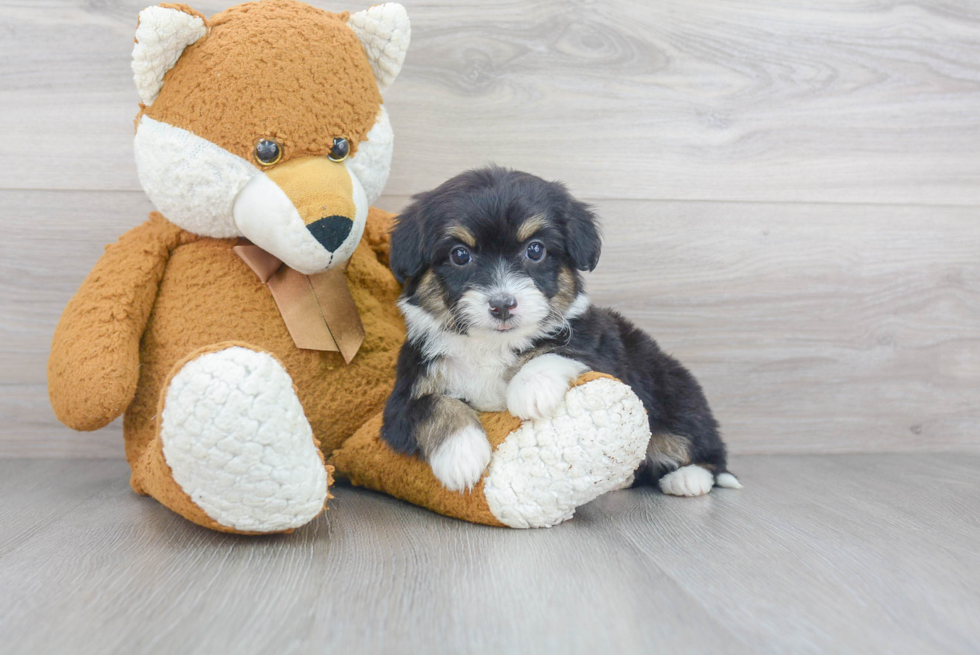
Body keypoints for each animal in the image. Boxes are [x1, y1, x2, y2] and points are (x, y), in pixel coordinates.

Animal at [382, 165, 744, 498]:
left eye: (535, 250)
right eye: (460, 255)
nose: (502, 305)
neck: (493, 345)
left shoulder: (603, 354)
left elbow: (560, 350)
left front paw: (530, 389)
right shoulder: (400, 401)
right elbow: (434, 405)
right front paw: (462, 454)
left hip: (674, 390)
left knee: (702, 446)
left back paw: (688, 478)